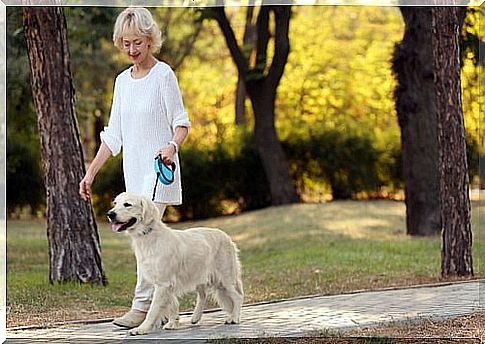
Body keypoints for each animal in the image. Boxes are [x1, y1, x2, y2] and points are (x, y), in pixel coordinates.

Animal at [106, 194, 242, 336]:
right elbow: (172, 304)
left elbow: (153, 310)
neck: (148, 235)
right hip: (199, 274)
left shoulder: (163, 283)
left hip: (225, 278)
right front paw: (173, 323)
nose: (110, 214)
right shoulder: (166, 283)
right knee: (203, 295)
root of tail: (227, 237)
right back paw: (195, 317)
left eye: (127, 204)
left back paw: (234, 317)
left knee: (237, 296)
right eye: (115, 203)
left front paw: (142, 328)